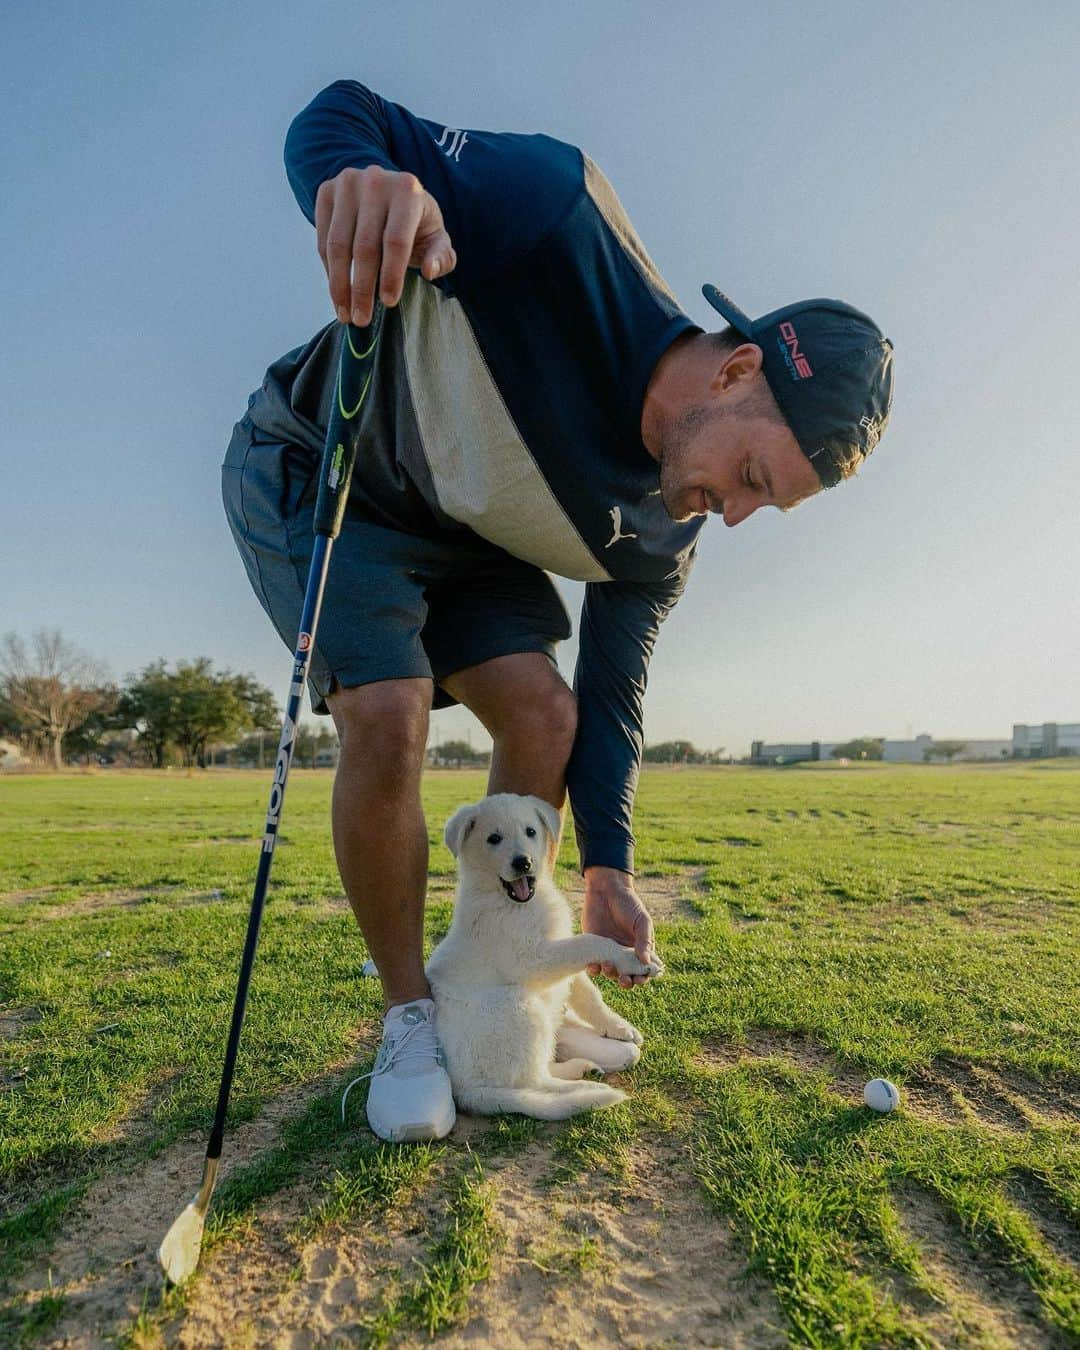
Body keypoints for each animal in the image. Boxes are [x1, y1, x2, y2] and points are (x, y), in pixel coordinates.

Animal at [429, 788, 661, 1117]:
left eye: (530, 832)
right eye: (493, 839)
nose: (523, 863)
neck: (514, 903)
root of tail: (466, 1091)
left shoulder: (560, 952)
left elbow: (589, 994)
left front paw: (618, 1026)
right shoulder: (533, 960)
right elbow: (590, 941)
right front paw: (632, 959)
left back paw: (583, 1068)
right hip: (518, 1006)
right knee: (535, 1083)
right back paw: (585, 1090)